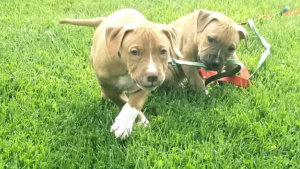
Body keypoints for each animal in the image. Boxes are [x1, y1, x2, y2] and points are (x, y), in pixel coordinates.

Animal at [58, 8, 180, 139]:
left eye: (163, 51)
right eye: (134, 52)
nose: (152, 76)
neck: (125, 68)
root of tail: (105, 19)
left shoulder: (144, 87)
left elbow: (134, 103)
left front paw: (130, 122)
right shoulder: (108, 87)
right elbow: (122, 101)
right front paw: (128, 122)